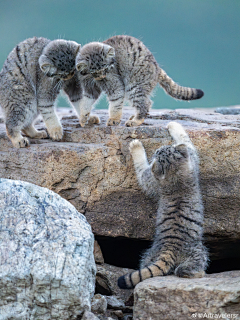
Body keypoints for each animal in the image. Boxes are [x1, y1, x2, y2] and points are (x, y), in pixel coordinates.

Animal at [75, 36, 204, 127]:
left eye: (106, 69)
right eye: (95, 72)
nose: (103, 76)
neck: (93, 79)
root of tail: (157, 68)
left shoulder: (115, 84)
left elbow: (116, 102)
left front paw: (114, 119)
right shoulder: (90, 88)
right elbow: (86, 101)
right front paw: (83, 116)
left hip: (134, 86)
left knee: (146, 103)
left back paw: (136, 120)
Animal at [118, 121, 208, 288]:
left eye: (160, 151)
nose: (155, 151)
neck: (177, 178)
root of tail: (169, 248)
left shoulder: (151, 178)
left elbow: (185, 139)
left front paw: (136, 145)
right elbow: (185, 141)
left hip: (191, 251)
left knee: (182, 270)